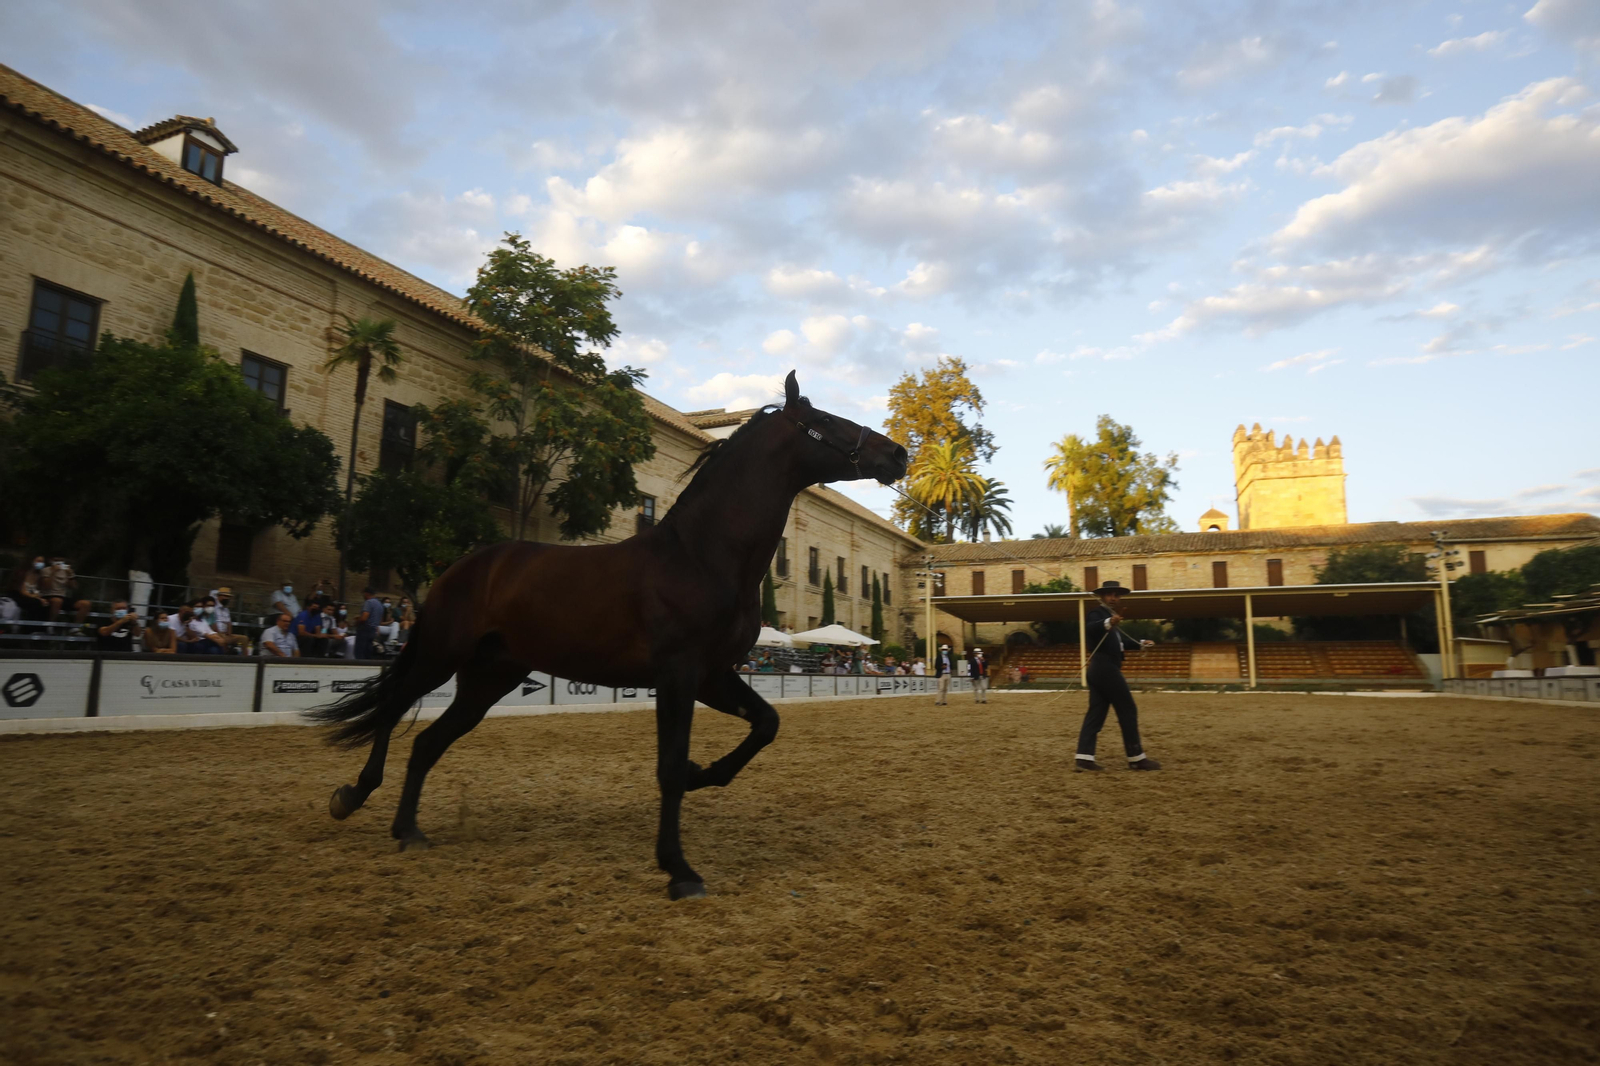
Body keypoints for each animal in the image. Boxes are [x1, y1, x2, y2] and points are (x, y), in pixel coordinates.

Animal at [309, 370, 909, 900]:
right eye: (824, 420)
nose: (897, 454)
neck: (701, 557)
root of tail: (463, 567)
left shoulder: (713, 676)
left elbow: (765, 725)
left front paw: (705, 774)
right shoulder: (678, 674)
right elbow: (669, 767)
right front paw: (679, 870)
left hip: (488, 679)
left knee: (427, 742)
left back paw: (408, 831)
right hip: (440, 655)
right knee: (392, 711)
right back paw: (350, 797)